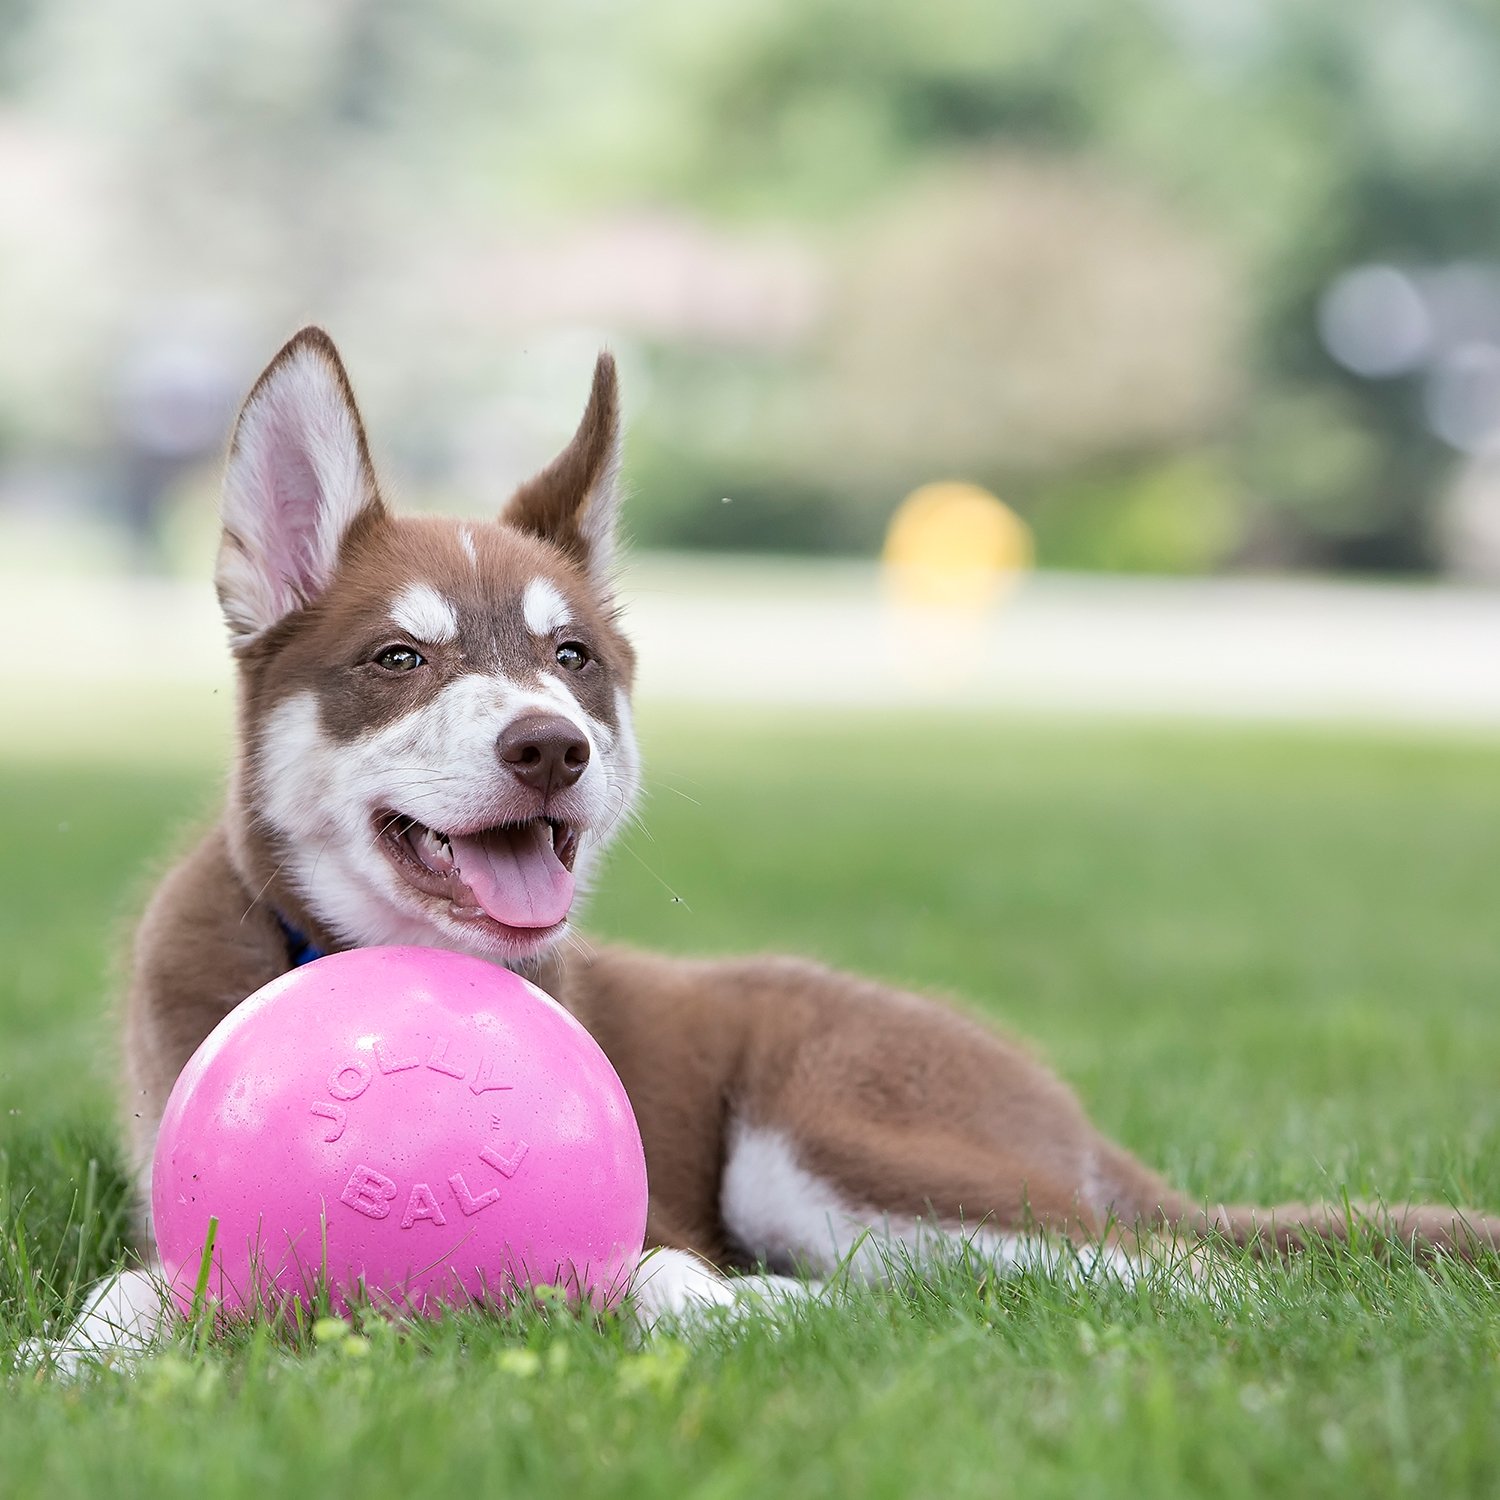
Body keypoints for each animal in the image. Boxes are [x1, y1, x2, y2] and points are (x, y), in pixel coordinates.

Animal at [52, 328, 1494, 1362]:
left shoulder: (665, 1212)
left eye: (571, 659)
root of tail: (1045, 1098)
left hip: (828, 1142)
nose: (551, 748)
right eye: (400, 658)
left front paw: (732, 1309)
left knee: (1169, 1273)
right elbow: (138, 1286)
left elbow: (657, 1272)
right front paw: (73, 1356)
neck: (344, 949)